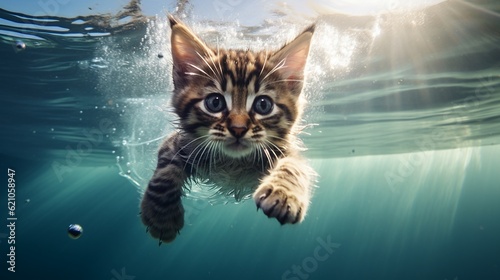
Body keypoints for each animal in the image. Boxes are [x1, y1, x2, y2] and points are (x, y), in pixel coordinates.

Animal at [139, 15, 314, 244]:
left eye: (263, 105)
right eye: (215, 103)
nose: (238, 128)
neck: (233, 164)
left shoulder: (289, 150)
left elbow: (294, 166)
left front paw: (283, 195)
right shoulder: (177, 142)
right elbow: (165, 173)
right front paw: (162, 215)